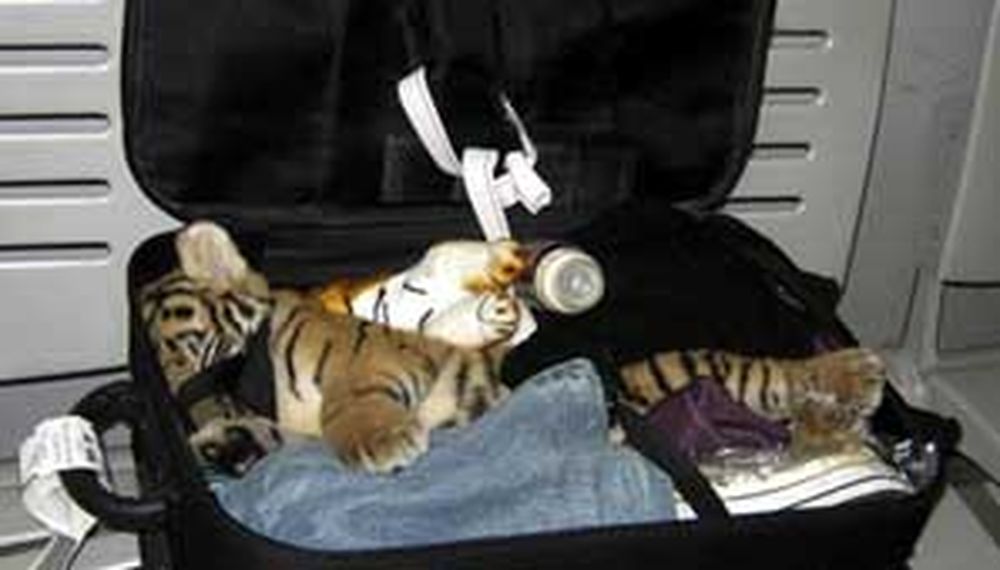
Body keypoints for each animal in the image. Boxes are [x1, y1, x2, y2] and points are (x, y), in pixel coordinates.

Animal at [141, 221, 885, 475]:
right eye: (166, 373)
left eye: (194, 348)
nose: (193, 412)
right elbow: (267, 438)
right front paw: (224, 444)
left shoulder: (374, 359)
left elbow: (350, 401)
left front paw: (379, 443)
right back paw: (836, 425)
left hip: (684, 364)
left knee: (770, 375)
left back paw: (853, 372)